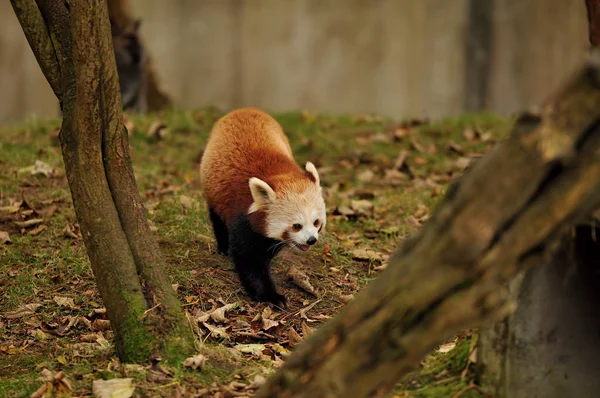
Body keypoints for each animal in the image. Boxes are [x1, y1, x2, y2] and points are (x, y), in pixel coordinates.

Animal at [200, 107, 324, 306]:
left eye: (316, 222)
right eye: (296, 226)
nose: (311, 240)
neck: (279, 175)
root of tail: (244, 109)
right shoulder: (242, 214)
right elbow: (250, 259)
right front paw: (271, 296)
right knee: (217, 219)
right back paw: (223, 247)